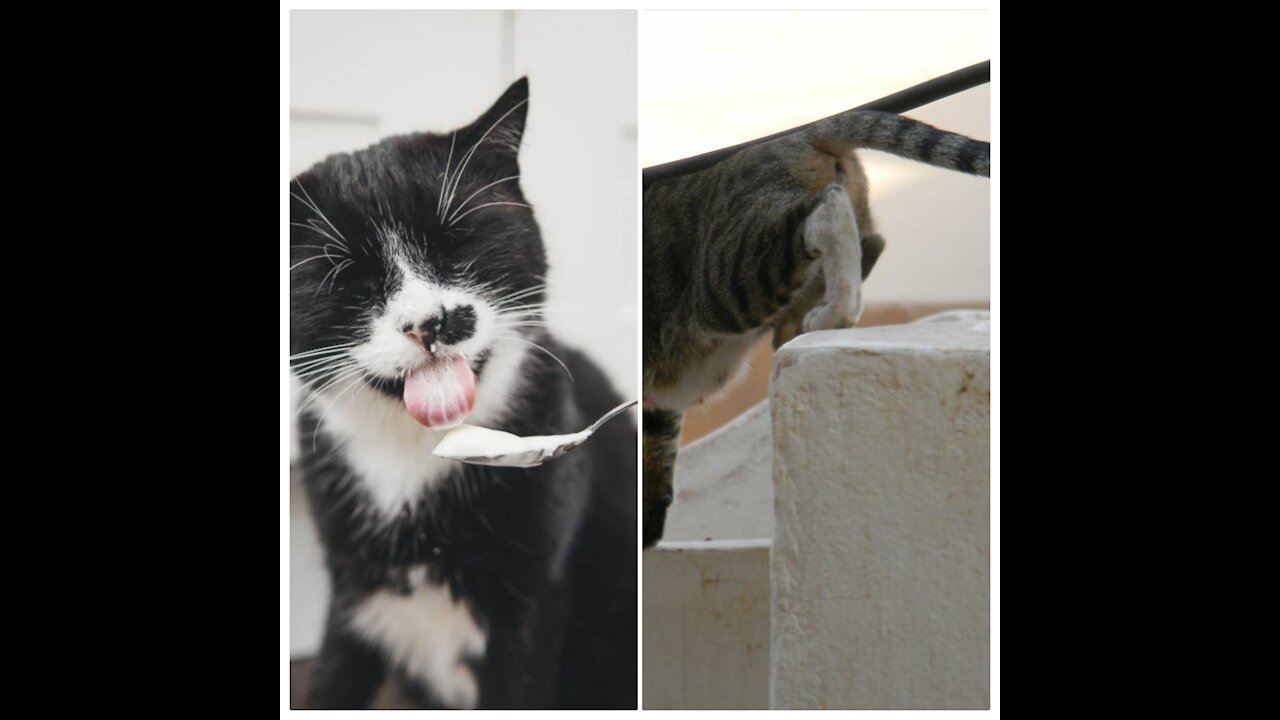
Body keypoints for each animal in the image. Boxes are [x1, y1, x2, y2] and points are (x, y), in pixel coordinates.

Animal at [640, 107, 988, 543]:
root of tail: (798, 133)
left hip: (728, 280)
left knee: (825, 213)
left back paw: (831, 306)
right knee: (868, 242)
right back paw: (815, 317)